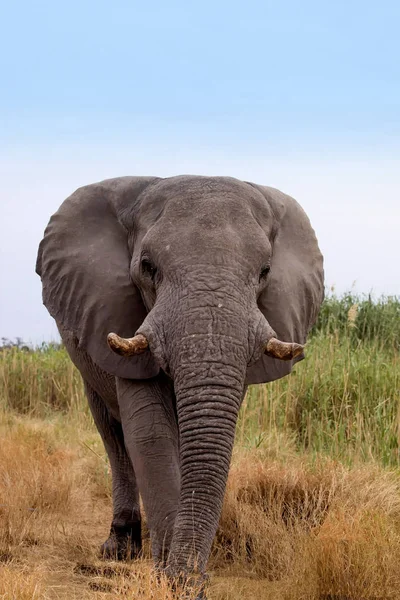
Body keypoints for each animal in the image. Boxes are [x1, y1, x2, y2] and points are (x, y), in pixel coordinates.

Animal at [36, 175, 324, 596]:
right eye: (147, 267)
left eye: (265, 271)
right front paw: (171, 580)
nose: (189, 580)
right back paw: (119, 548)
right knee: (112, 433)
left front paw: (182, 579)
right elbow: (152, 433)